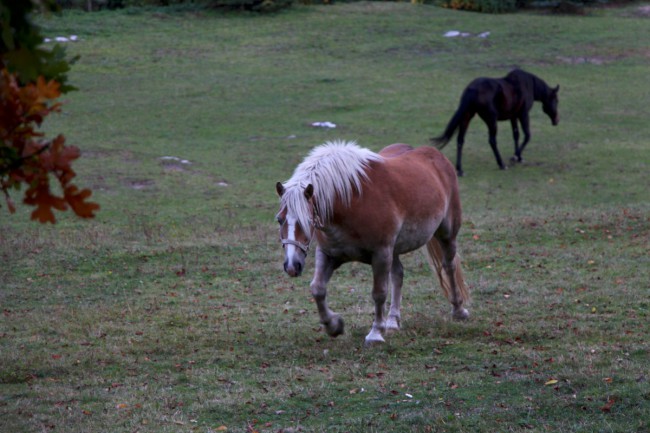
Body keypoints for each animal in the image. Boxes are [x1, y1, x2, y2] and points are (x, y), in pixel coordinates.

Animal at [272, 140, 466, 346]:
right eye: (279, 219)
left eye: (307, 221)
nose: (292, 266)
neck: (352, 201)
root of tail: (437, 157)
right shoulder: (328, 254)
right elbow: (317, 288)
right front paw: (334, 326)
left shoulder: (380, 254)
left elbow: (379, 293)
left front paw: (375, 333)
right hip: (394, 250)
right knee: (398, 275)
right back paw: (392, 321)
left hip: (446, 234)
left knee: (449, 266)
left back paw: (458, 310)